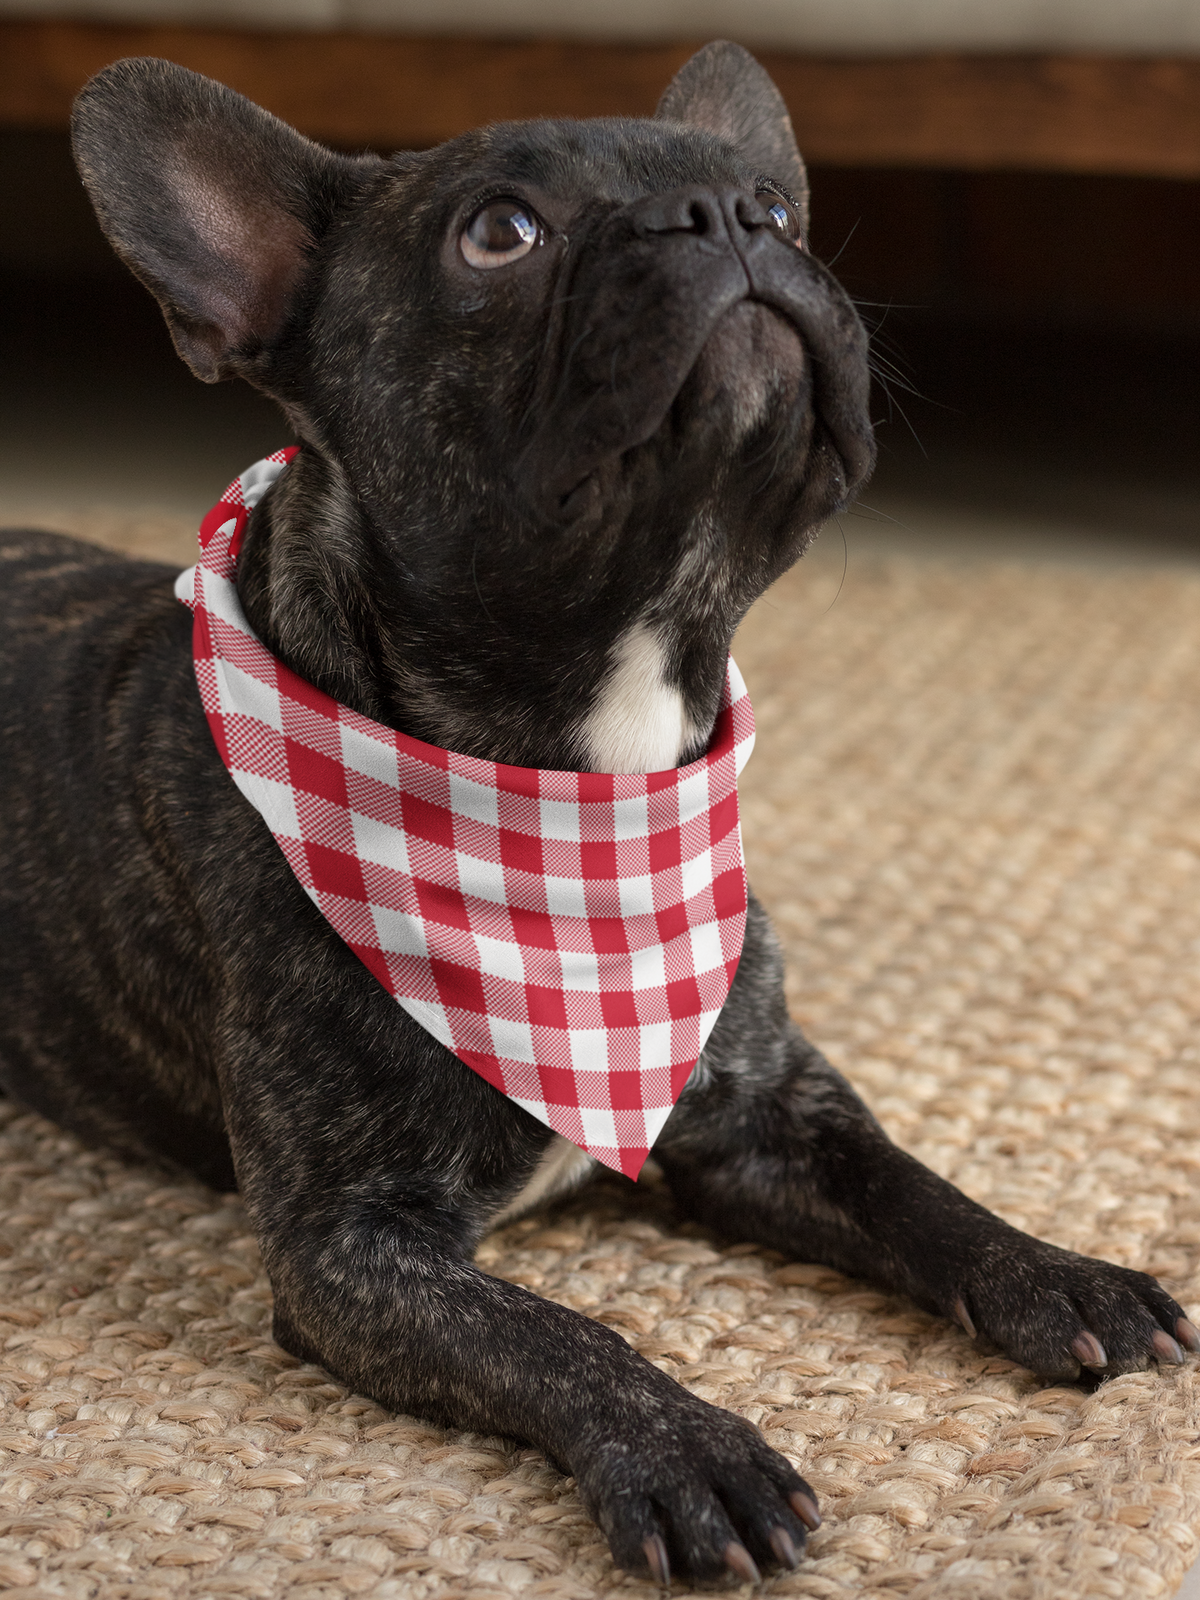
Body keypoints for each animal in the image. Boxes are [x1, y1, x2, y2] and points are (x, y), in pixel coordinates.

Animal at [0, 40, 1196, 1587]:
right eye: (500, 232)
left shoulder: (766, 1108)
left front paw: (1061, 1269)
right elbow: (557, 1334)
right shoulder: (352, 1249)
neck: (586, 779)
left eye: (779, 208)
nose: (728, 216)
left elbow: (913, 1186)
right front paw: (688, 1451)